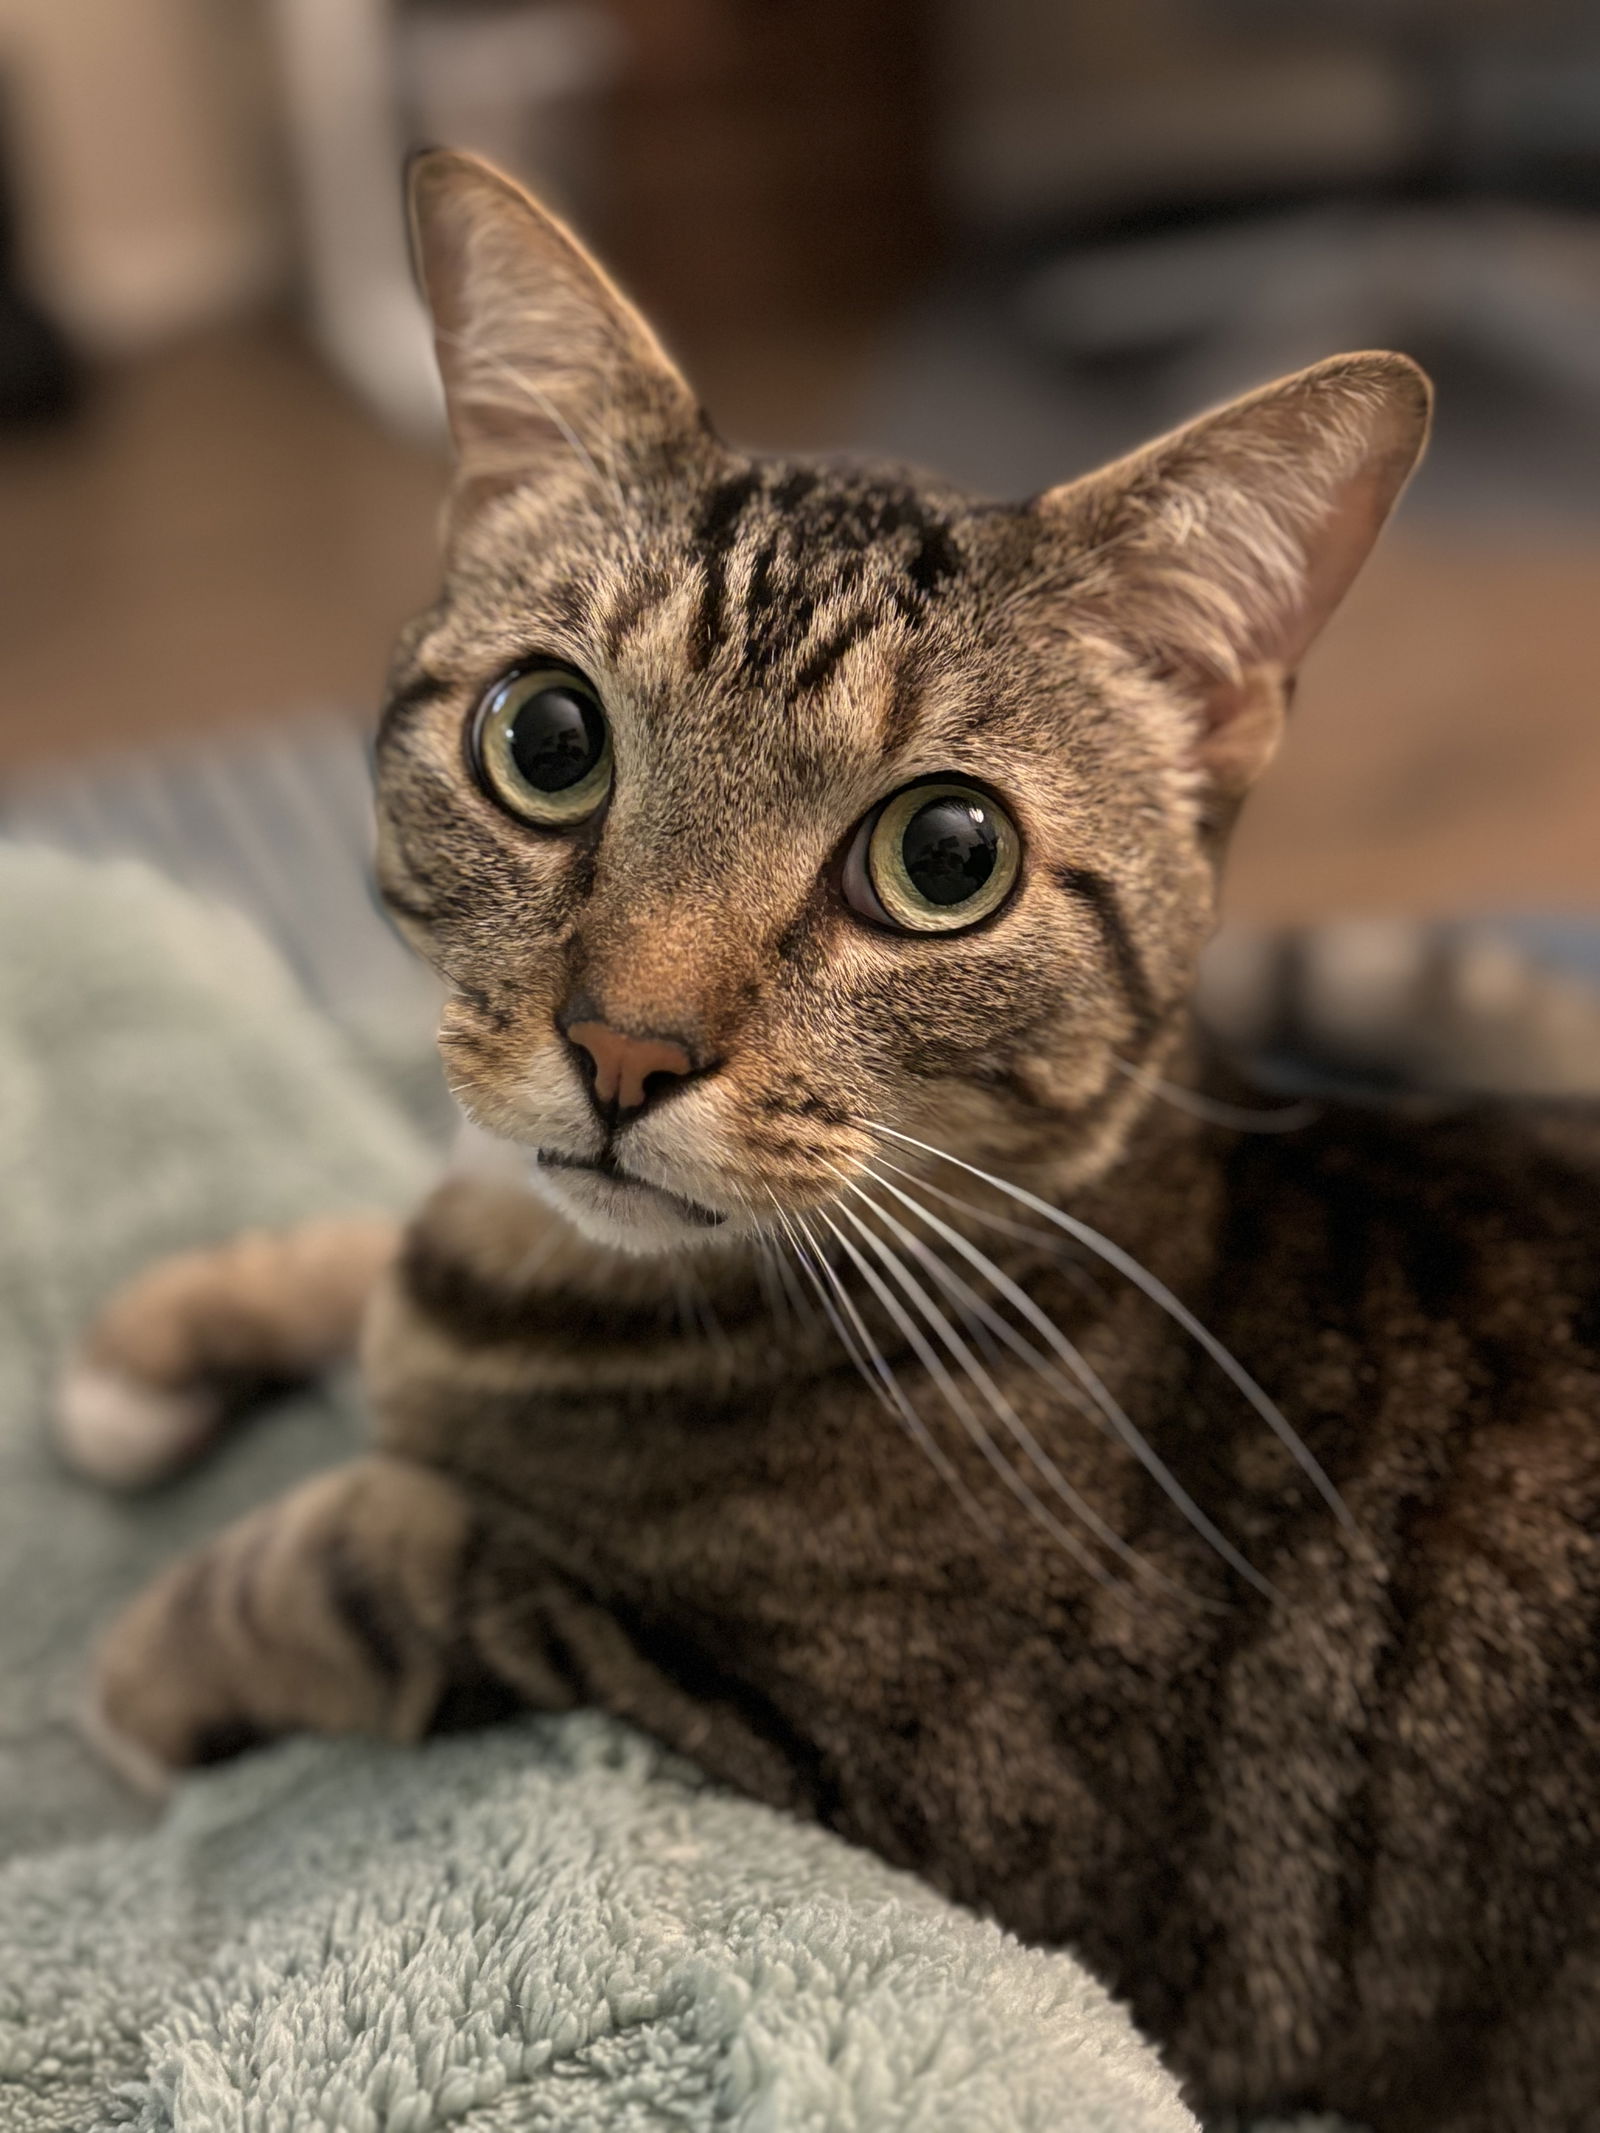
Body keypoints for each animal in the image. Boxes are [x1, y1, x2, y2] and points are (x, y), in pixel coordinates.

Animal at [56, 154, 1600, 2133]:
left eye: (946, 856)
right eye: (545, 738)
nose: (625, 1047)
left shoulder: (808, 1734)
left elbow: (366, 1549)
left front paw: (136, 1673)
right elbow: (384, 1217)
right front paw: (164, 1333)